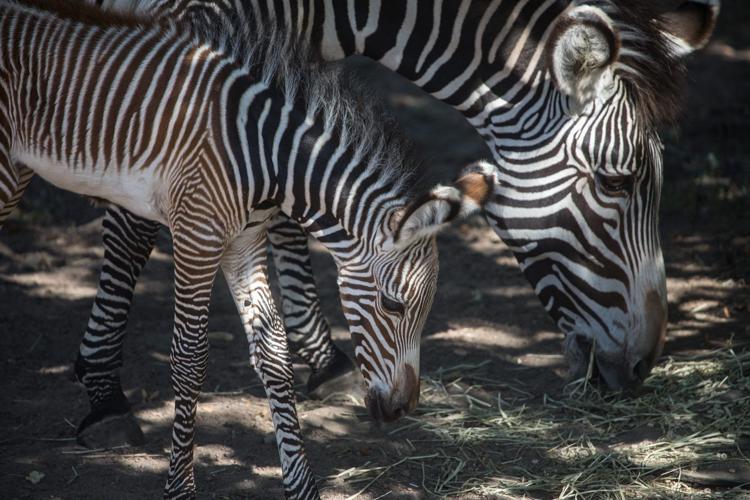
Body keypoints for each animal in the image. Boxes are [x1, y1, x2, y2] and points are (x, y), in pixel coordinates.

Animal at [0, 1, 490, 496]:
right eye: (393, 305)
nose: (400, 410)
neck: (264, 154)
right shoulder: (197, 236)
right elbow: (189, 360)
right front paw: (180, 486)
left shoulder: (244, 242)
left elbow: (273, 354)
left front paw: (301, 485)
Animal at [62, 0, 721, 442]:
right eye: (616, 182)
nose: (641, 368)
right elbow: (134, 221)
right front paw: (104, 391)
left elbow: (289, 197)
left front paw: (320, 356)